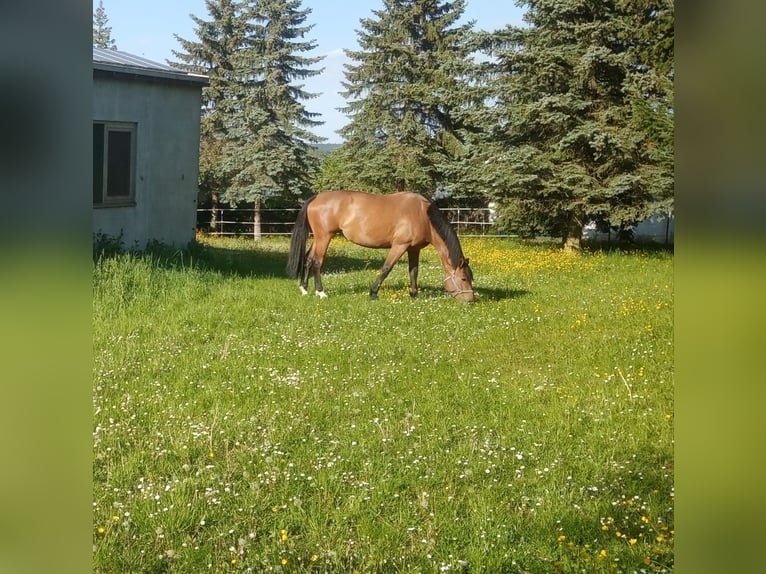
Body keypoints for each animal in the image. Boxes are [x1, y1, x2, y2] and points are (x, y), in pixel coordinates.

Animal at [286, 191, 474, 304]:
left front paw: (414, 295)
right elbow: (386, 268)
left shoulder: (414, 249)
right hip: (324, 237)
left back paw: (304, 289)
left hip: (318, 238)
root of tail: (316, 198)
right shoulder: (400, 246)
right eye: (464, 279)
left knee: (308, 259)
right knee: (317, 262)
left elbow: (414, 271)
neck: (422, 215)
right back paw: (321, 292)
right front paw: (373, 293)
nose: (471, 300)